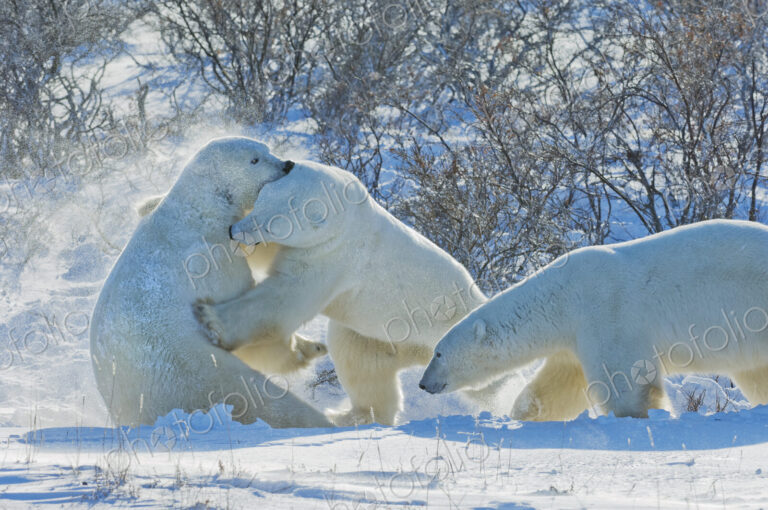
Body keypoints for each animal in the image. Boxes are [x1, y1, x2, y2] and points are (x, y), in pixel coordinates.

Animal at [90, 137, 332, 428]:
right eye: (254, 160)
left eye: (266, 149)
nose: (287, 165)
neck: (199, 206)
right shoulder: (209, 254)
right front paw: (305, 348)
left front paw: (313, 346)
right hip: (184, 368)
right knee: (248, 395)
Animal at [192, 159, 498, 426]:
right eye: (260, 202)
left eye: (272, 224)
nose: (234, 231)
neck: (347, 212)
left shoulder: (334, 255)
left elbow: (285, 297)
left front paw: (212, 320)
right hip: (381, 334)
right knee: (361, 363)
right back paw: (353, 416)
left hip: (438, 336)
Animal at [419, 219, 768, 421]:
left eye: (438, 353)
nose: (423, 384)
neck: (562, 297)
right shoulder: (573, 338)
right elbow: (557, 386)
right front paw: (523, 415)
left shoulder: (607, 314)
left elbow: (624, 381)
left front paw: (640, 417)